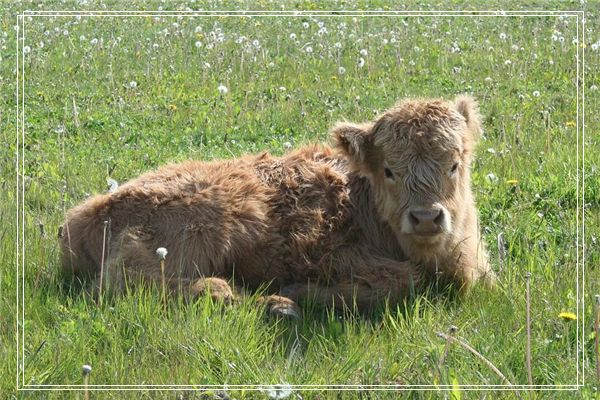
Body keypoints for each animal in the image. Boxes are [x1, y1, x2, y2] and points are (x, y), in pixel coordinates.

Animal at [61, 95, 494, 314]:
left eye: (455, 163)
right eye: (389, 170)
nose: (426, 217)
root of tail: (90, 211)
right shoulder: (337, 256)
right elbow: (405, 280)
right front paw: (296, 291)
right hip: (208, 224)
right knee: (125, 280)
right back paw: (249, 297)